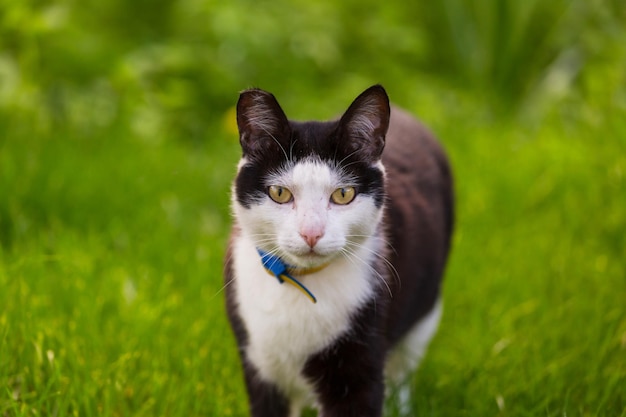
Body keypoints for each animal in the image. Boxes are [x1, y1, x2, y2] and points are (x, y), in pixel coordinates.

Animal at [224, 85, 454, 416]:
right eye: (279, 193)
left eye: (343, 194)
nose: (311, 232)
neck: (301, 284)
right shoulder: (258, 362)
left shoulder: (358, 360)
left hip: (424, 311)